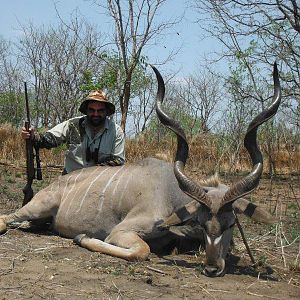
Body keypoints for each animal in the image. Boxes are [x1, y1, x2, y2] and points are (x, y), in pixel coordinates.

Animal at [0, 63, 282, 276]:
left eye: (231, 223)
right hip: (39, 205)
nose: (212, 268)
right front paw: (82, 238)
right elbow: (140, 251)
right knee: (6, 218)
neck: (171, 195)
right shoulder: (122, 231)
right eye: (202, 222)